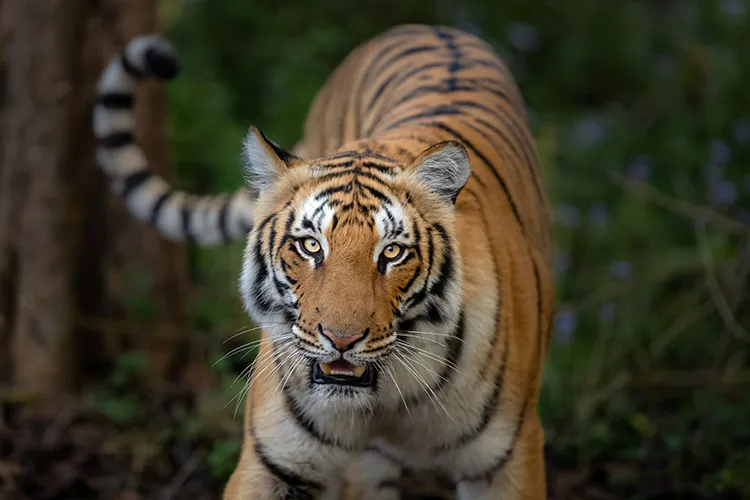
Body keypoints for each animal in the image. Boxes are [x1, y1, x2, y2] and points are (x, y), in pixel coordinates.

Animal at [94, 24, 556, 500]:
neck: (387, 402)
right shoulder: (274, 461)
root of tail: (430, 27)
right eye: (311, 246)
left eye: (392, 252)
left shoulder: (508, 460)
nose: (341, 339)